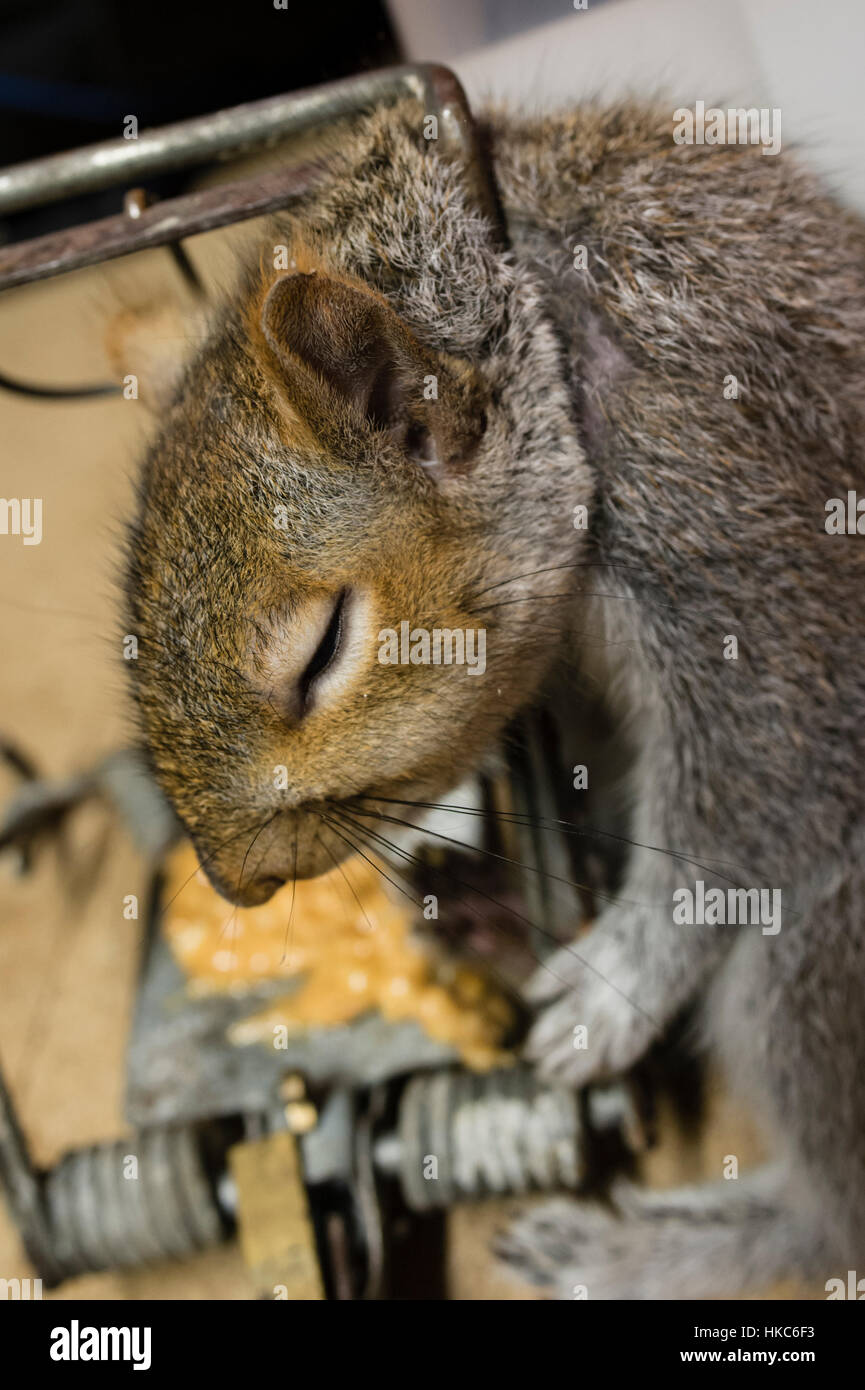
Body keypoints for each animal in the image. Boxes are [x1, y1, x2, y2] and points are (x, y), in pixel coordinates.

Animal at [123, 96, 865, 1299]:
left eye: (321, 650)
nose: (238, 884)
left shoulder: (725, 506)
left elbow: (763, 780)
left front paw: (618, 978)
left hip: (822, 962)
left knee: (833, 1216)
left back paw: (638, 1247)